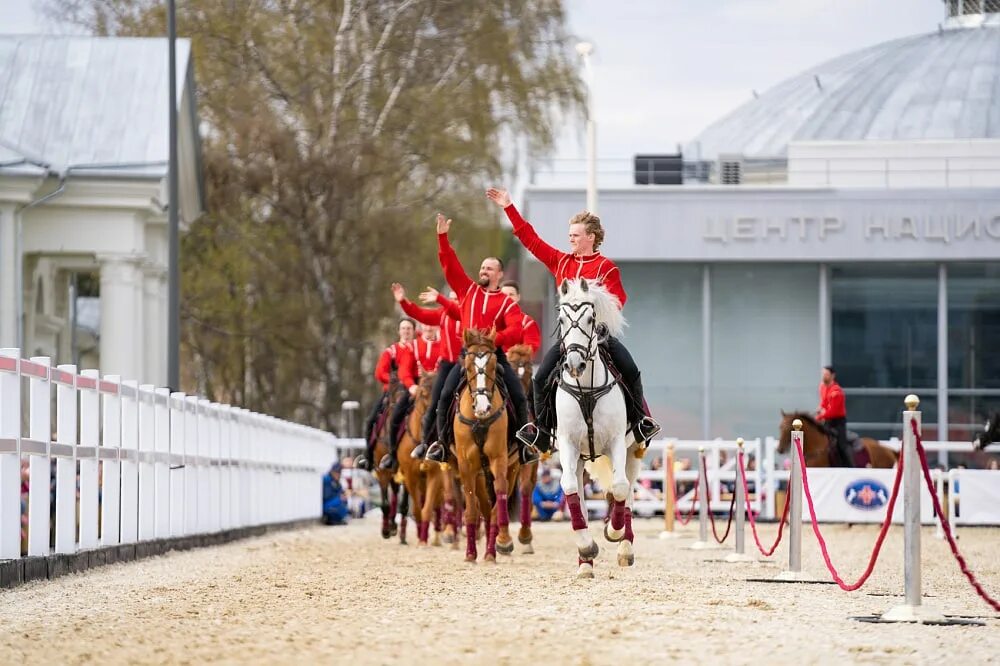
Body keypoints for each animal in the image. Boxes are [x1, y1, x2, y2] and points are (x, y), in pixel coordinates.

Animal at [452, 326, 520, 560]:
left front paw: (504, 541)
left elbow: (500, 495)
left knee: (493, 507)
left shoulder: (499, 459)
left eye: (494, 366)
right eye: (467, 367)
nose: (483, 406)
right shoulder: (465, 465)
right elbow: (471, 508)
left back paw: (493, 550)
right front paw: (470, 553)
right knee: (482, 506)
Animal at [556, 276, 640, 576]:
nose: (574, 363)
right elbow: (570, 489)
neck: (587, 391)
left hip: (633, 451)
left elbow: (620, 487)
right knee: (579, 496)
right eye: (561, 319)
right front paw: (586, 549)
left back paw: (625, 547)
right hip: (581, 458)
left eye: (591, 318)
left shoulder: (617, 443)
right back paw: (585, 564)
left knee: (628, 490)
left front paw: (613, 532)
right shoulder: (568, 445)